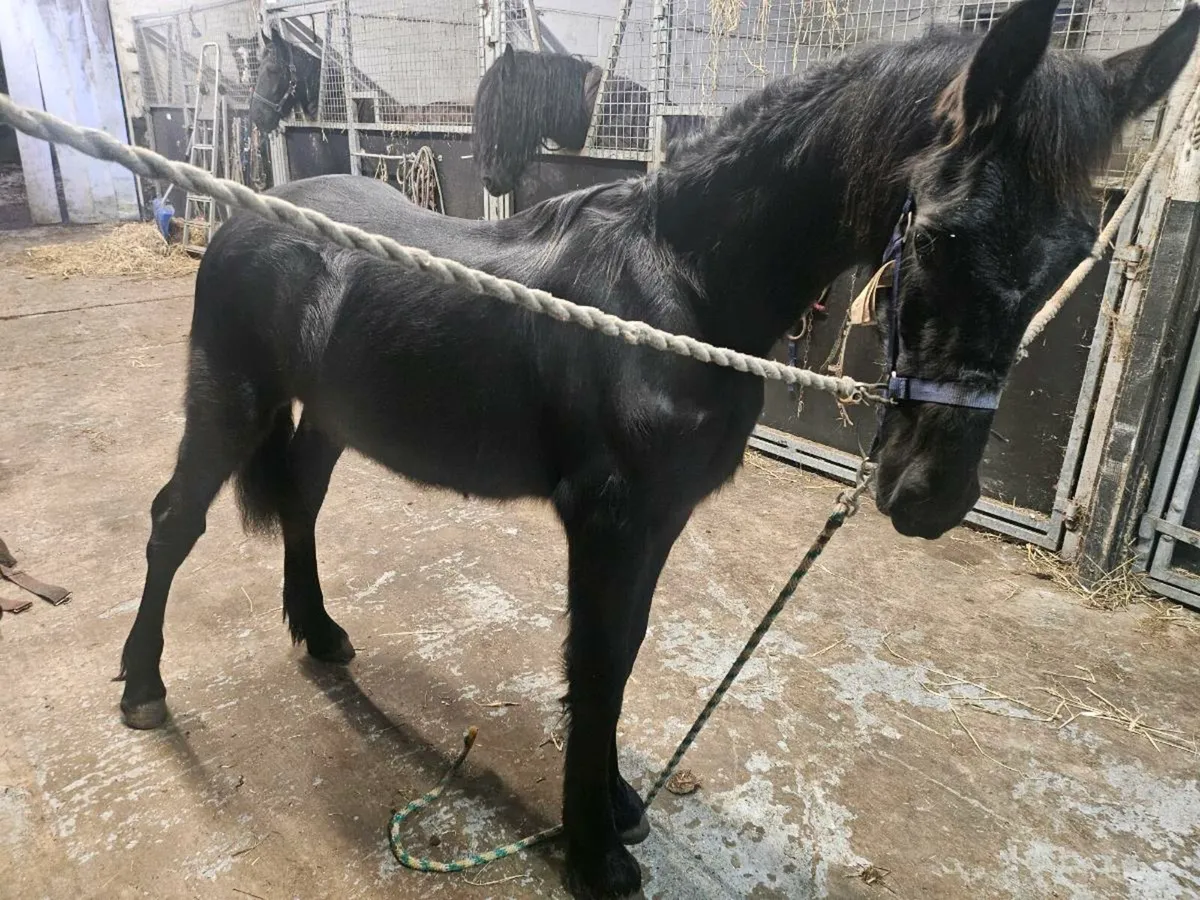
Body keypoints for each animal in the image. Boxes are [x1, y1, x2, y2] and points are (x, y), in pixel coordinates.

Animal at [116, 1, 1197, 896]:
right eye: (934, 234)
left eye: (1072, 252)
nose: (930, 491)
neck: (677, 283)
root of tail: (247, 214)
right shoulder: (610, 519)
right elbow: (596, 663)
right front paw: (593, 853)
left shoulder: (661, 521)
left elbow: (628, 655)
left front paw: (618, 807)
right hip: (226, 400)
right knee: (173, 523)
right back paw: (143, 688)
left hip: (331, 417)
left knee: (299, 506)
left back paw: (321, 634)